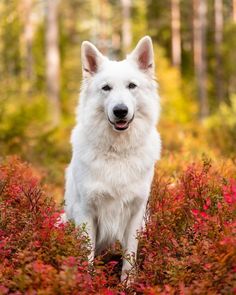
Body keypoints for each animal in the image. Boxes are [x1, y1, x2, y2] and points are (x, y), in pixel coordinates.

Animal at [63, 35, 161, 280]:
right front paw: (87, 283)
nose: (120, 111)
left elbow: (130, 257)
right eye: (106, 88)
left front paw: (128, 284)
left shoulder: (136, 213)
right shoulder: (86, 212)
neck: (117, 152)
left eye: (131, 86)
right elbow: (87, 256)